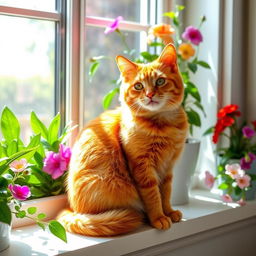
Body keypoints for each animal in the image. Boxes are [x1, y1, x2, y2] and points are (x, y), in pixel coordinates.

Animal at [58, 43, 188, 236]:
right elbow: (153, 196)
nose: (150, 95)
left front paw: (169, 212)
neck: (162, 125)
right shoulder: (143, 168)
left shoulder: (168, 167)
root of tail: (73, 209)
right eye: (139, 86)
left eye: (160, 81)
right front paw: (159, 217)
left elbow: (166, 193)